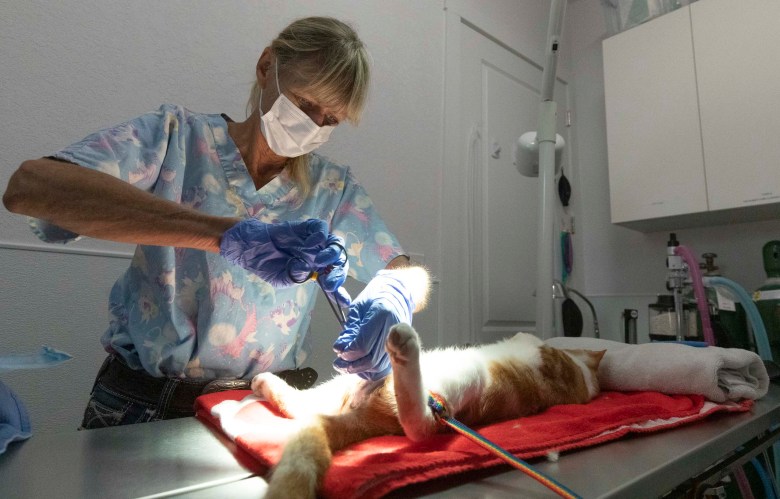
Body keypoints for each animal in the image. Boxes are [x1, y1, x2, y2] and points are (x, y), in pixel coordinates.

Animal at [250, 322, 604, 498]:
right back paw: (265, 382)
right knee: (299, 406)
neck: (582, 378)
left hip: (461, 383)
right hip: (344, 384)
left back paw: (404, 350)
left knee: (419, 424)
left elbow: (532, 339)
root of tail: (370, 419)